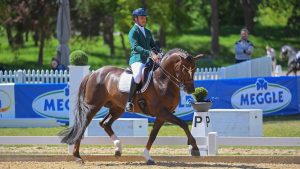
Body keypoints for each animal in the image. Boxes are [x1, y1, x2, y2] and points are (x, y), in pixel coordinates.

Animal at [59, 48, 203, 164]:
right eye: (184, 69)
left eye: (195, 69)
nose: (191, 89)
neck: (162, 80)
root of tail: (94, 73)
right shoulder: (162, 112)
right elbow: (183, 124)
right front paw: (195, 149)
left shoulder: (162, 115)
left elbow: (153, 135)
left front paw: (147, 157)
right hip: (93, 106)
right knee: (83, 126)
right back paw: (77, 156)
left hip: (117, 108)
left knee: (105, 123)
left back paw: (118, 149)